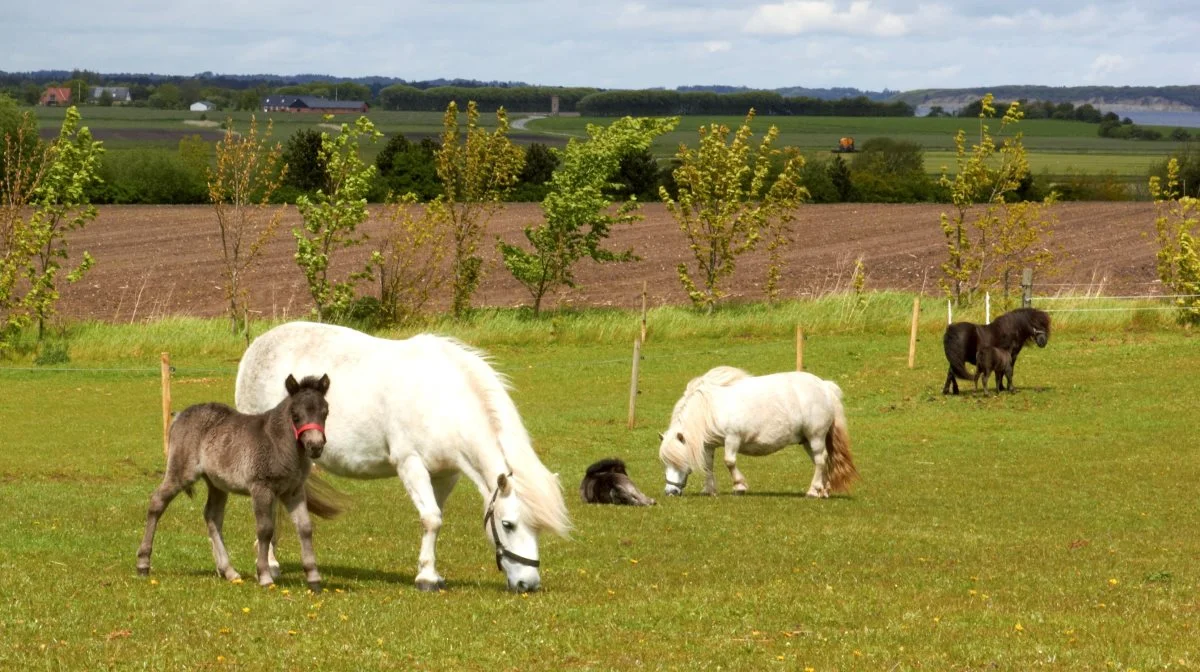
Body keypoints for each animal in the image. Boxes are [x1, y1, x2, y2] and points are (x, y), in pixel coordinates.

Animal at [137, 374, 340, 590]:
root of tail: (180, 415)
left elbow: (305, 528)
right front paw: (264, 576)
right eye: (295, 414)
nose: (315, 446)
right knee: (157, 502)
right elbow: (265, 530)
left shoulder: (294, 491)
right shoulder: (261, 488)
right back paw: (143, 564)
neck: (278, 442)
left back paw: (229, 571)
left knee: (212, 517)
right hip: (181, 473)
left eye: (325, 412)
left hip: (216, 484)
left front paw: (314, 578)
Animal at [236, 324, 573, 590]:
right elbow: (431, 519)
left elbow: (435, 518)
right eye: (507, 524)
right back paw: (269, 564)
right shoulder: (410, 464)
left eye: (538, 528)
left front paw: (430, 572)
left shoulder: (445, 474)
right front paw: (426, 579)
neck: (445, 400)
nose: (528, 584)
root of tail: (257, 346)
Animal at [657, 367, 864, 499]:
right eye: (665, 463)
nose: (670, 492)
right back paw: (824, 490)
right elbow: (708, 465)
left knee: (821, 461)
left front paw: (739, 487)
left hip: (816, 437)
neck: (710, 408)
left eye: (679, 461)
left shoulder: (732, 438)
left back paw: (813, 491)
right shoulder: (709, 444)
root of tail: (824, 387)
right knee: (822, 462)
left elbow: (729, 462)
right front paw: (709, 490)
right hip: (807, 441)